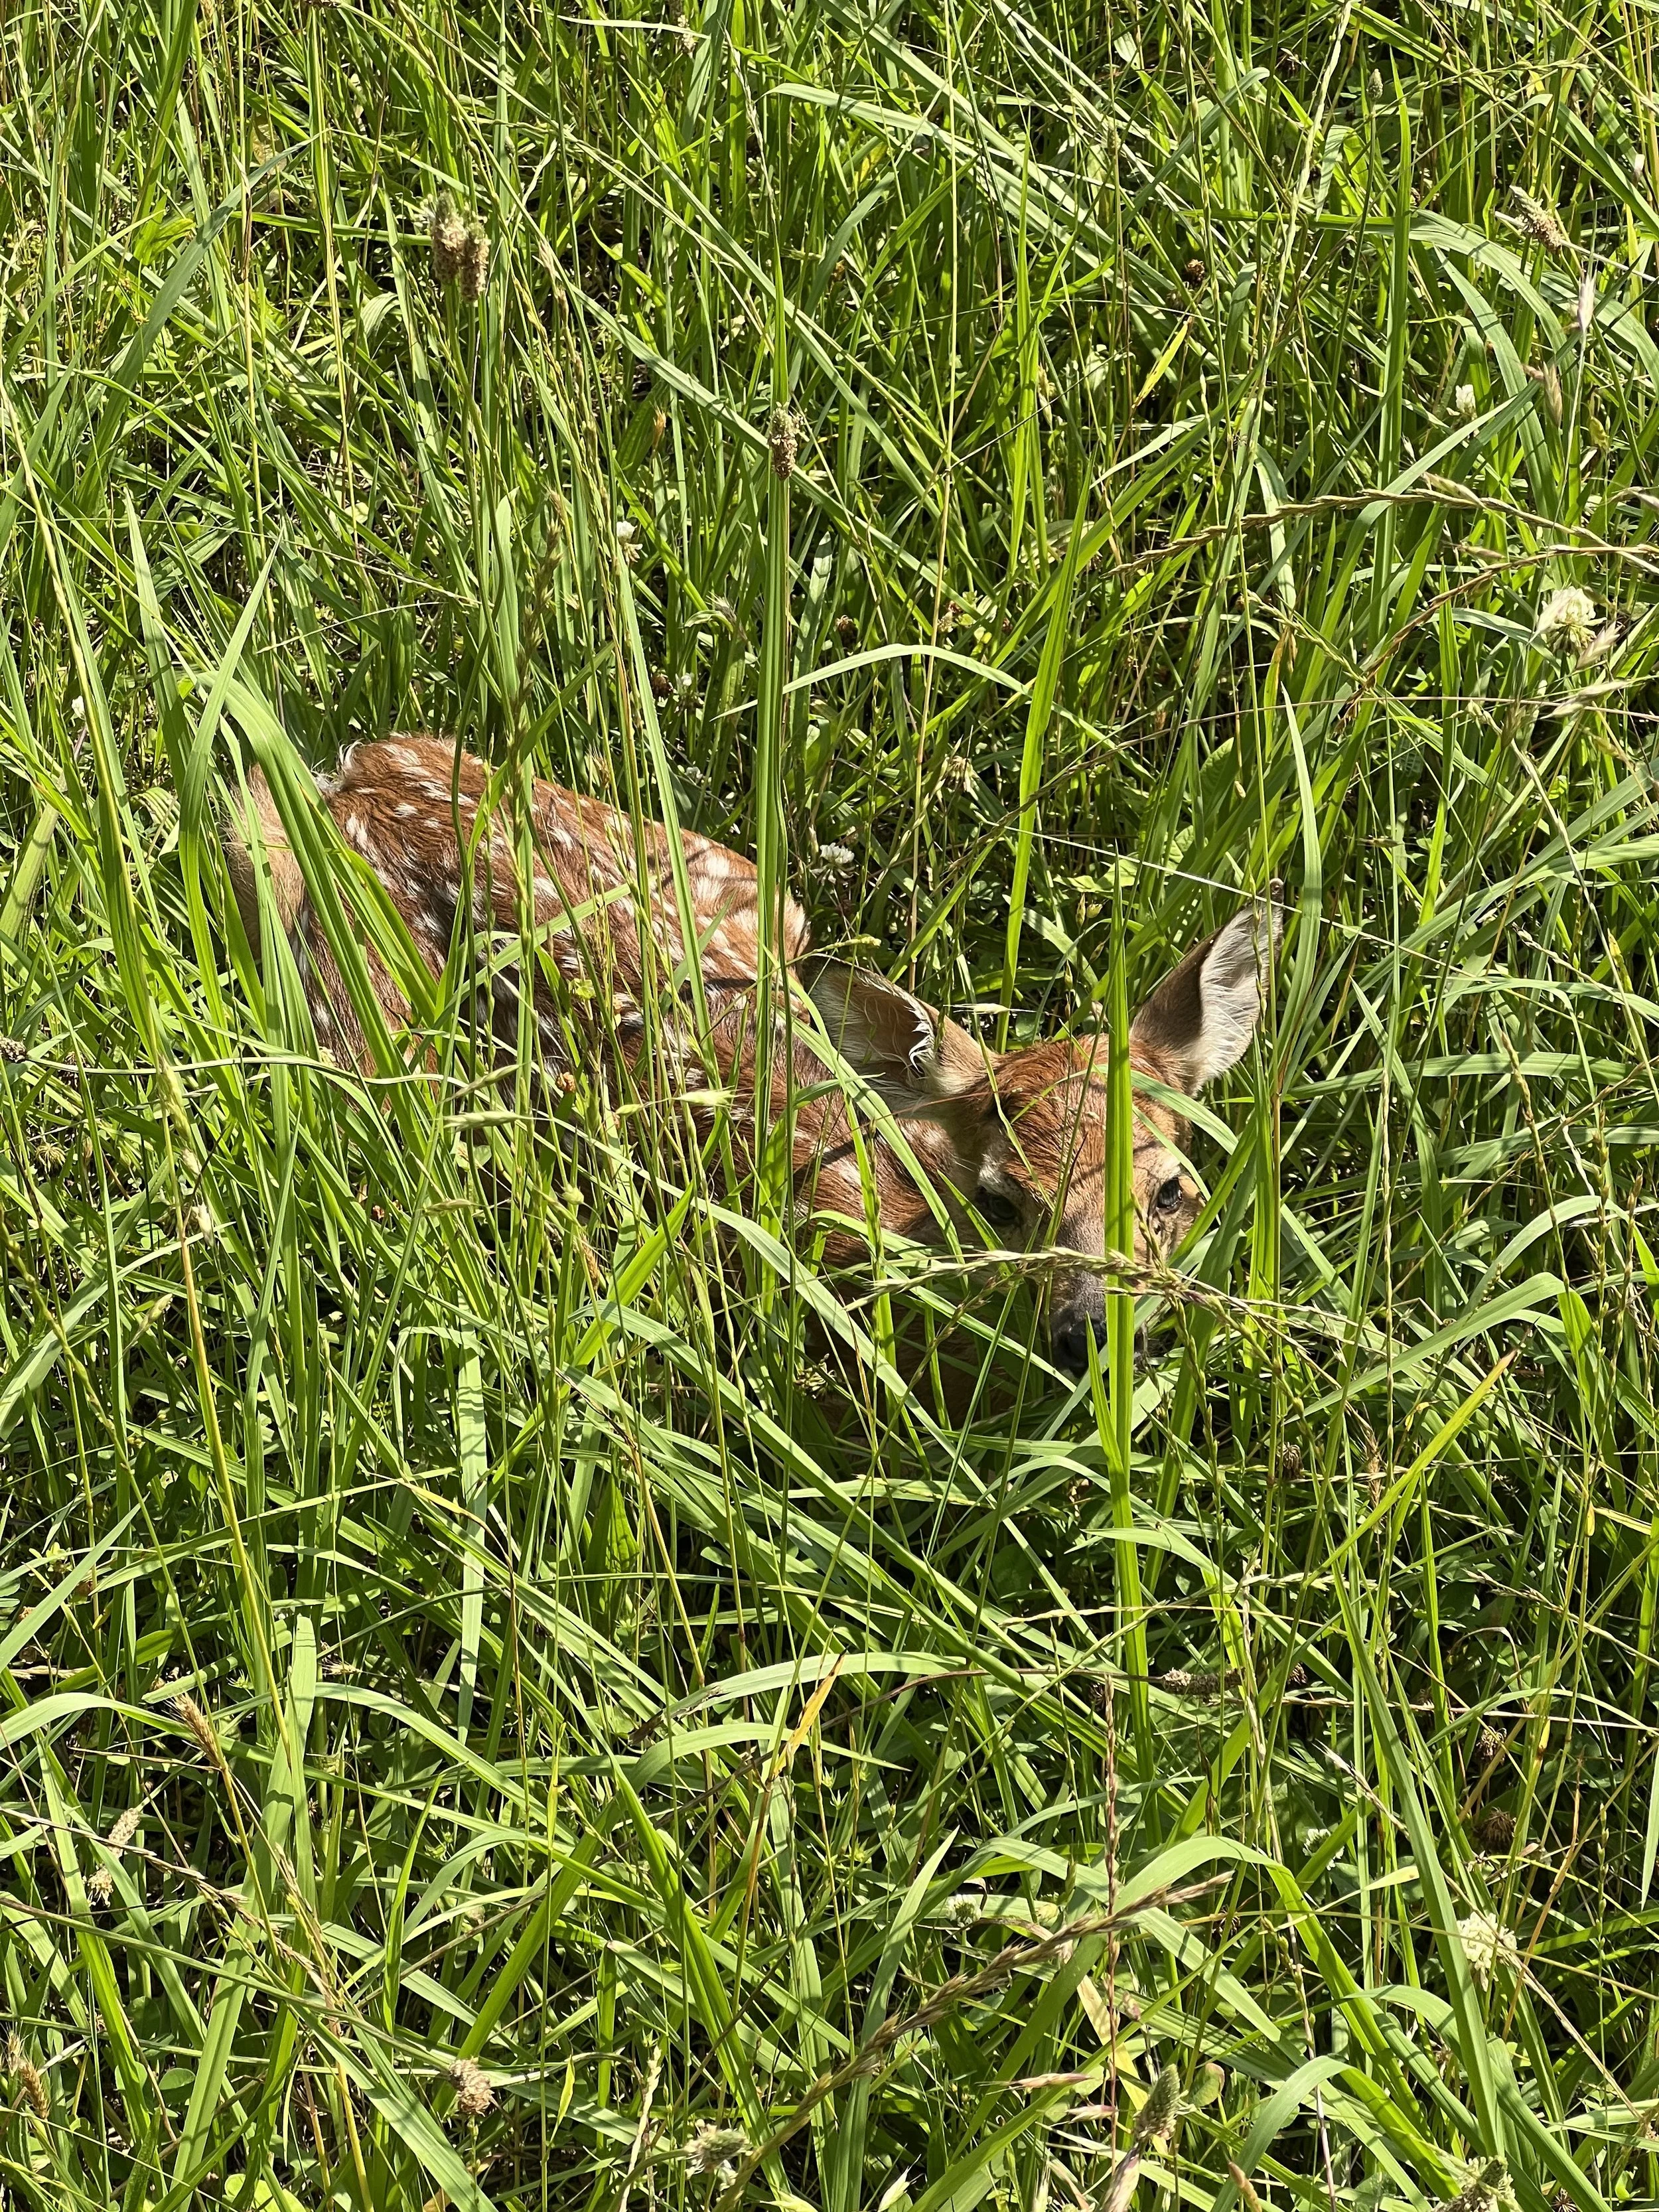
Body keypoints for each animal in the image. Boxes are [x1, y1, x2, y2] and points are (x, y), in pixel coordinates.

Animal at [223, 736, 1278, 1376]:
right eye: (999, 1203)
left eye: (1171, 1189)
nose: (1087, 1330)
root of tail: (359, 779)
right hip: (366, 1034)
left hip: (753, 890)